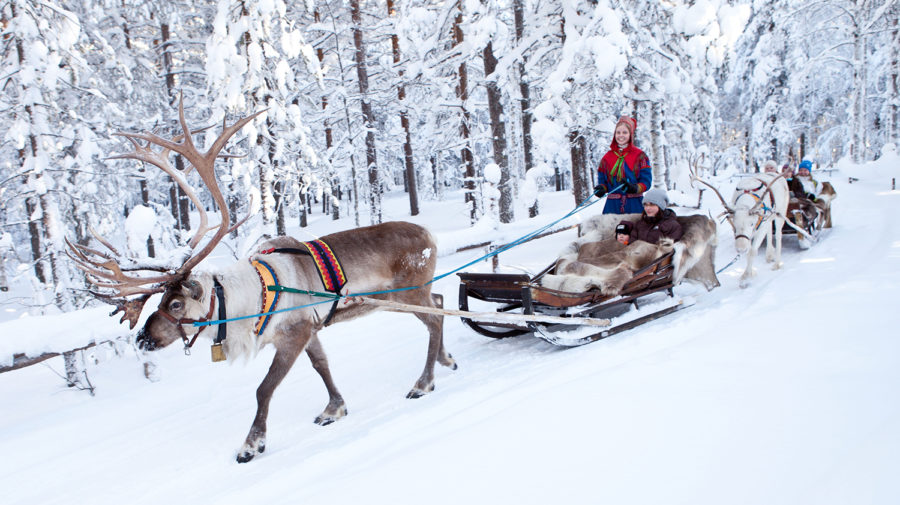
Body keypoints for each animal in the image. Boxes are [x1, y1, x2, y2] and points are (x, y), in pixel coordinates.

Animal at [67, 98, 456, 463]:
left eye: (175, 303)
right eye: (159, 301)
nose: (143, 339)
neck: (250, 300)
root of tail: (430, 234)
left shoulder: (294, 333)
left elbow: (263, 388)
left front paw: (251, 444)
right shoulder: (311, 330)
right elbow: (322, 366)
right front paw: (335, 408)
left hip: (407, 293)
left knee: (436, 318)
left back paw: (424, 383)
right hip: (403, 296)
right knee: (439, 304)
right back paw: (445, 359)